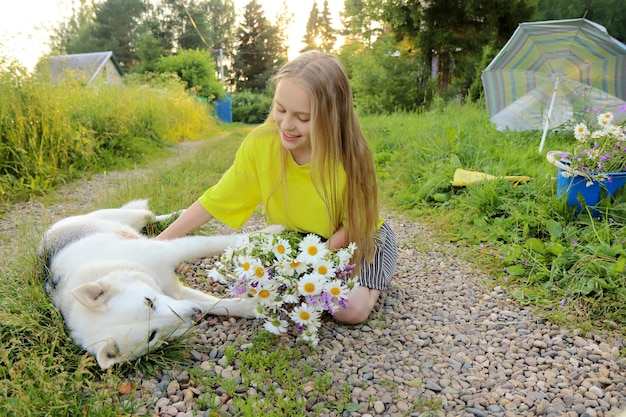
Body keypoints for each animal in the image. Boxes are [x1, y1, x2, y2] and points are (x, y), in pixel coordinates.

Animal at [39, 201, 272, 368]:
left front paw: (274, 231)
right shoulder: (176, 291)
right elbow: (220, 305)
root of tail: (49, 231)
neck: (113, 266)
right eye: (152, 336)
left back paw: (178, 213)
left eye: (148, 301)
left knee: (151, 215)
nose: (195, 316)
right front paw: (252, 308)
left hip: (132, 217)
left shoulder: (172, 251)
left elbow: (224, 241)